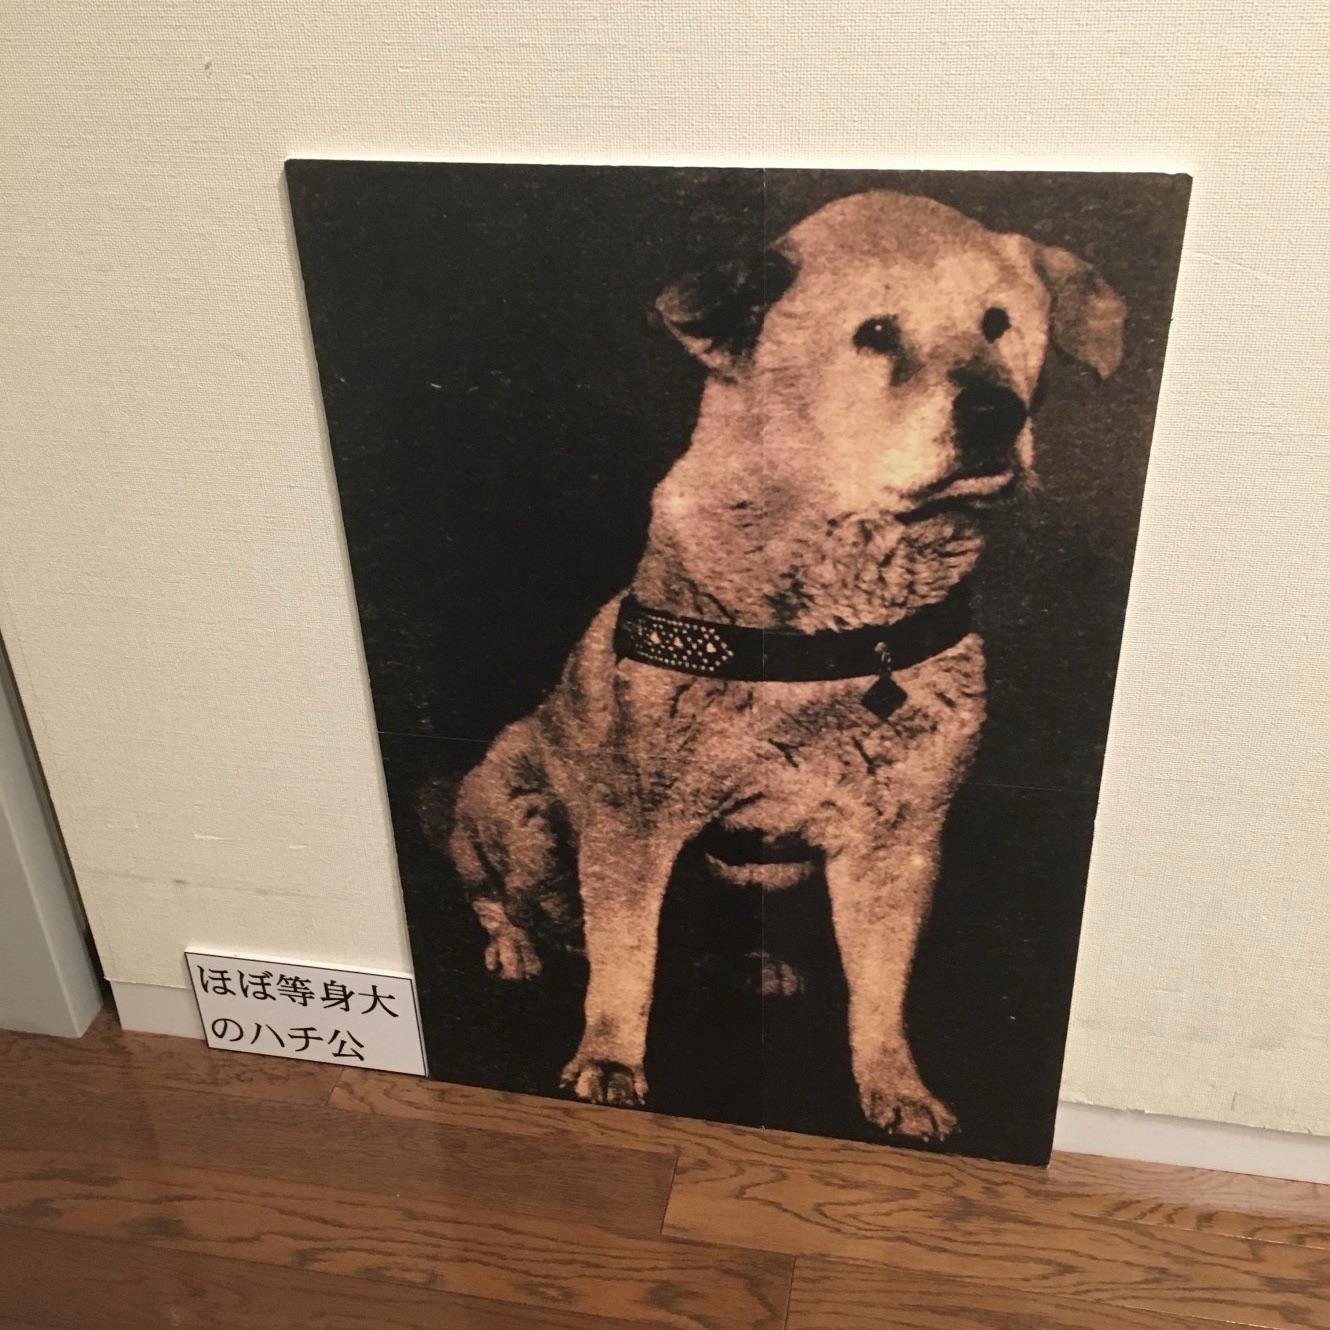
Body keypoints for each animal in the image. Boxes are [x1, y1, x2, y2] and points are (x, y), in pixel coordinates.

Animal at [441, 189, 1124, 1140]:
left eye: (1000, 323)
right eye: (876, 331)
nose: (996, 412)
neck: (851, 626)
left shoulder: (899, 842)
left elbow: (881, 988)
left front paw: (896, 1085)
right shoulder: (632, 822)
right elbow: (625, 959)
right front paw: (609, 1058)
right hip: (516, 813)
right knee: (499, 892)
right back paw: (512, 945)